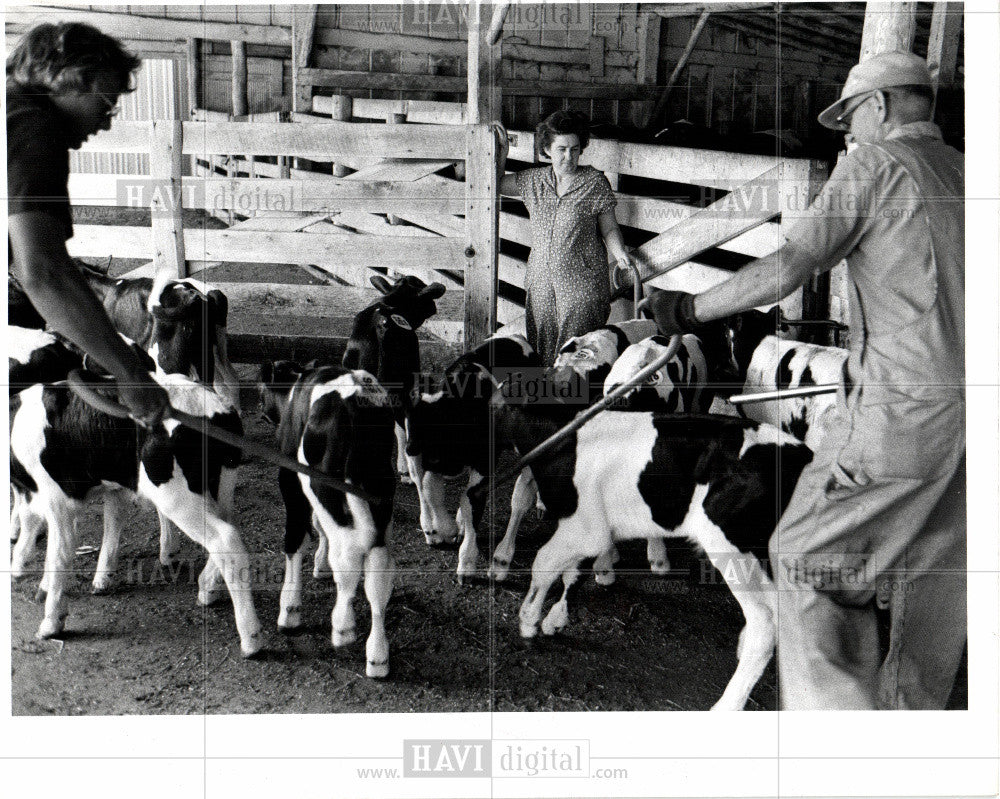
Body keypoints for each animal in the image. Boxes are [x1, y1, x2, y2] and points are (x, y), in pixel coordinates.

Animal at [10, 368, 262, 656]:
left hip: (175, 495)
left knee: (225, 539)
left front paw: (51, 622)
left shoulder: (57, 498)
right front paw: (100, 579)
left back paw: (251, 640)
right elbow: (111, 523)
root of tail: (214, 408)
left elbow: (58, 554)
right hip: (222, 484)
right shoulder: (112, 486)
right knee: (230, 528)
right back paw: (207, 589)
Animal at [260, 366, 396, 680]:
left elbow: (295, 538)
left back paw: (343, 625)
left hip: (323, 485)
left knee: (347, 556)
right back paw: (378, 655)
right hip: (381, 492)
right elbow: (318, 527)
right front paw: (320, 564)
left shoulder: (290, 480)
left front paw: (289, 610)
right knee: (378, 569)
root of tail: (358, 394)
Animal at [492, 396, 812, 708]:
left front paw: (528, 620)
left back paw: (726, 705)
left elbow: (544, 562)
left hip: (734, 549)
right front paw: (554, 618)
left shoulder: (585, 529)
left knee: (765, 621)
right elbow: (570, 570)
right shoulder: (588, 527)